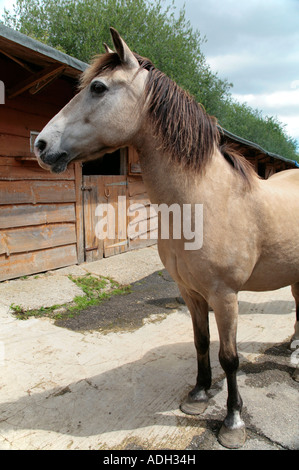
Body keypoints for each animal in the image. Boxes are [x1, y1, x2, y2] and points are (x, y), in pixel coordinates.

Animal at [33, 28, 299, 448]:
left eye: (97, 87)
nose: (41, 145)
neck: (204, 201)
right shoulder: (190, 292)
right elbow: (200, 343)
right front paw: (198, 395)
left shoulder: (225, 296)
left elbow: (230, 357)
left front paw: (233, 421)